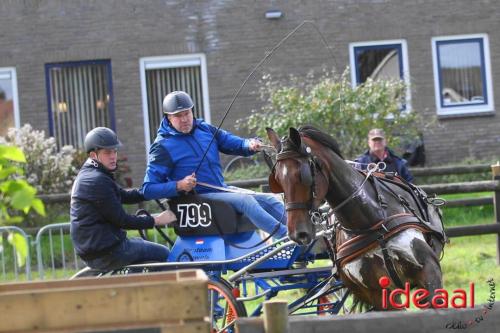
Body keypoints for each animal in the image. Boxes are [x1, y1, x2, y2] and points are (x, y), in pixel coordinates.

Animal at [268, 126, 448, 310]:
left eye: (303, 175)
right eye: (277, 180)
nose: (297, 234)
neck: (374, 223)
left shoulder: (429, 271)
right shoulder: (376, 293)